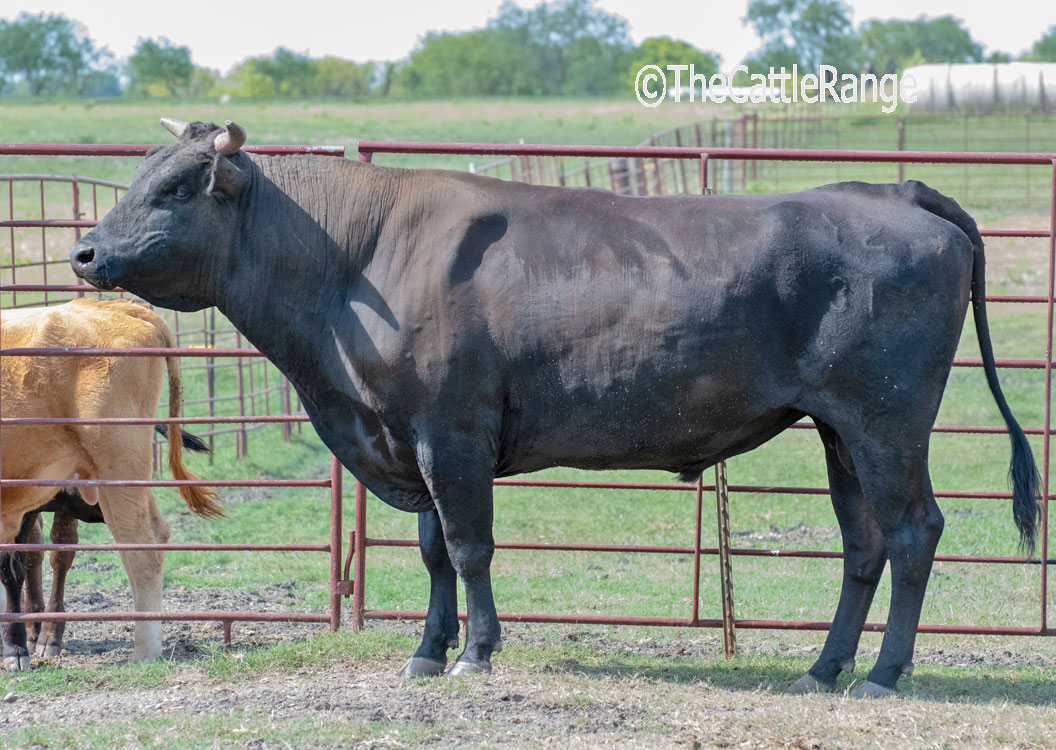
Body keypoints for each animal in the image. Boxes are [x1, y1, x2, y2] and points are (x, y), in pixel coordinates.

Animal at [69, 118, 1040, 697]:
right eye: (137, 177)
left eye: (172, 189)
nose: (82, 252)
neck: (356, 260)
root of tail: (894, 190)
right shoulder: (411, 436)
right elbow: (432, 551)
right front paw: (426, 651)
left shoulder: (452, 431)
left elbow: (468, 546)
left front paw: (475, 651)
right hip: (839, 428)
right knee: (863, 543)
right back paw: (824, 668)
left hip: (887, 421)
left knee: (913, 531)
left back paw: (883, 672)